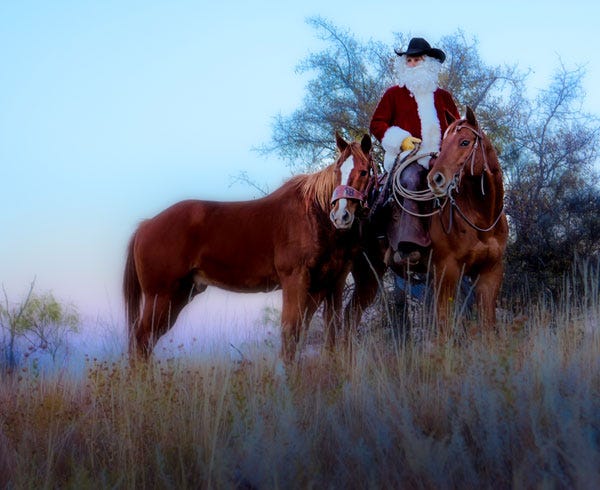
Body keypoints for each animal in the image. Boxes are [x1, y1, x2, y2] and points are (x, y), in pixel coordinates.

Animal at [122, 132, 376, 362]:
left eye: (364, 172)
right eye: (337, 171)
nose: (341, 216)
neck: (314, 215)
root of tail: (146, 225)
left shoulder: (333, 284)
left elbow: (329, 337)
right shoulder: (295, 280)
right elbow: (290, 336)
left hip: (180, 295)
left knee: (146, 342)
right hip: (161, 296)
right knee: (142, 340)